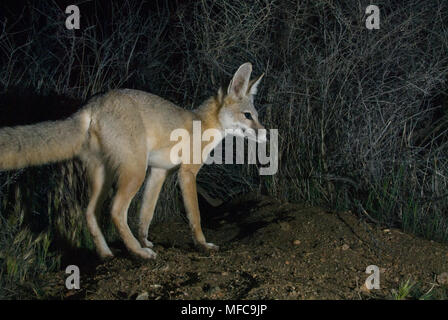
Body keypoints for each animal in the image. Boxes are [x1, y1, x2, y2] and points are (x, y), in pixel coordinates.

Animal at [0, 62, 266, 260]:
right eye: (248, 116)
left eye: (256, 116)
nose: (265, 134)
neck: (203, 123)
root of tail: (94, 103)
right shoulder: (186, 174)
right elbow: (195, 217)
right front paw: (202, 245)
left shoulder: (159, 172)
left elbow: (145, 214)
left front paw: (145, 239)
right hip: (133, 172)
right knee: (115, 211)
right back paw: (138, 253)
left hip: (104, 175)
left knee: (90, 213)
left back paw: (107, 253)